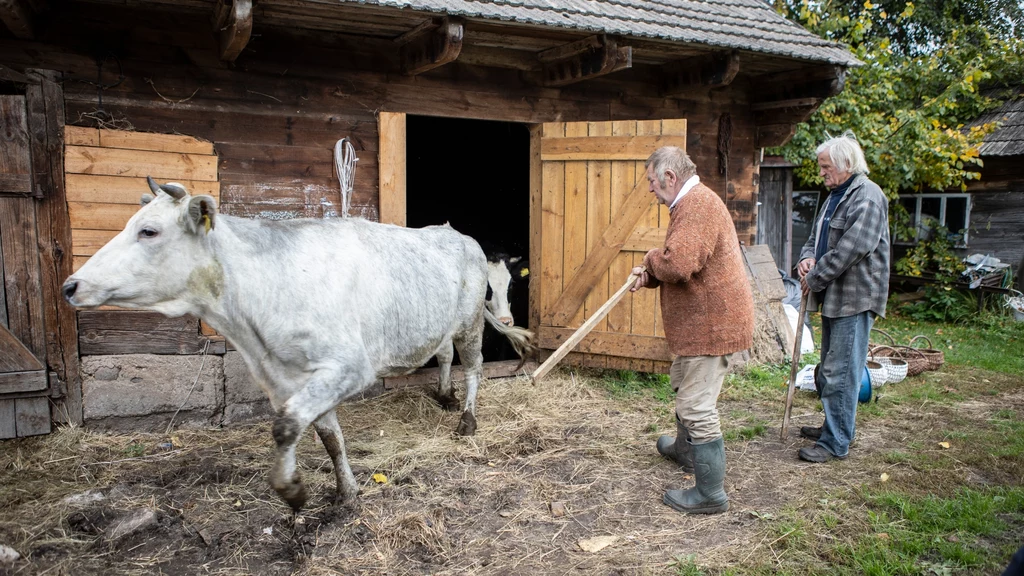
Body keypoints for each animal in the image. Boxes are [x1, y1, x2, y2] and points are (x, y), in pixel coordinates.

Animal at [61, 177, 536, 508]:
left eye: (149, 231)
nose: (70, 285)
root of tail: (457, 234)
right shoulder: (287, 379)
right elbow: (327, 437)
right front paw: (346, 492)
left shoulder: (347, 367)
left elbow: (286, 426)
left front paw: (290, 489)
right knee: (443, 353)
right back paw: (444, 396)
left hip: (470, 321)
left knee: (472, 365)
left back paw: (467, 420)